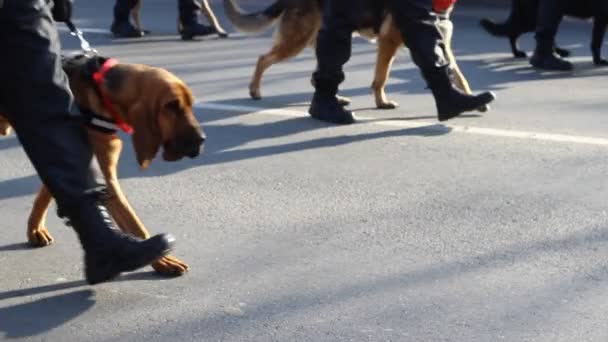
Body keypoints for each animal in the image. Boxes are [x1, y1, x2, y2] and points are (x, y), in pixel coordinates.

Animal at [0, 54, 205, 278]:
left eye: (190, 105)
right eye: (171, 106)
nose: (202, 140)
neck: (101, 91)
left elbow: (46, 194)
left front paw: (35, 229)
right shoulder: (103, 177)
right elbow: (134, 224)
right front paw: (161, 259)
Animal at [222, 0, 480, 110]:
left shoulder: (442, 46)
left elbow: (459, 76)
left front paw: (470, 97)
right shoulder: (388, 43)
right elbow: (381, 78)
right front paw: (382, 102)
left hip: (319, 38)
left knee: (320, 71)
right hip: (297, 41)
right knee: (263, 59)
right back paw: (254, 90)